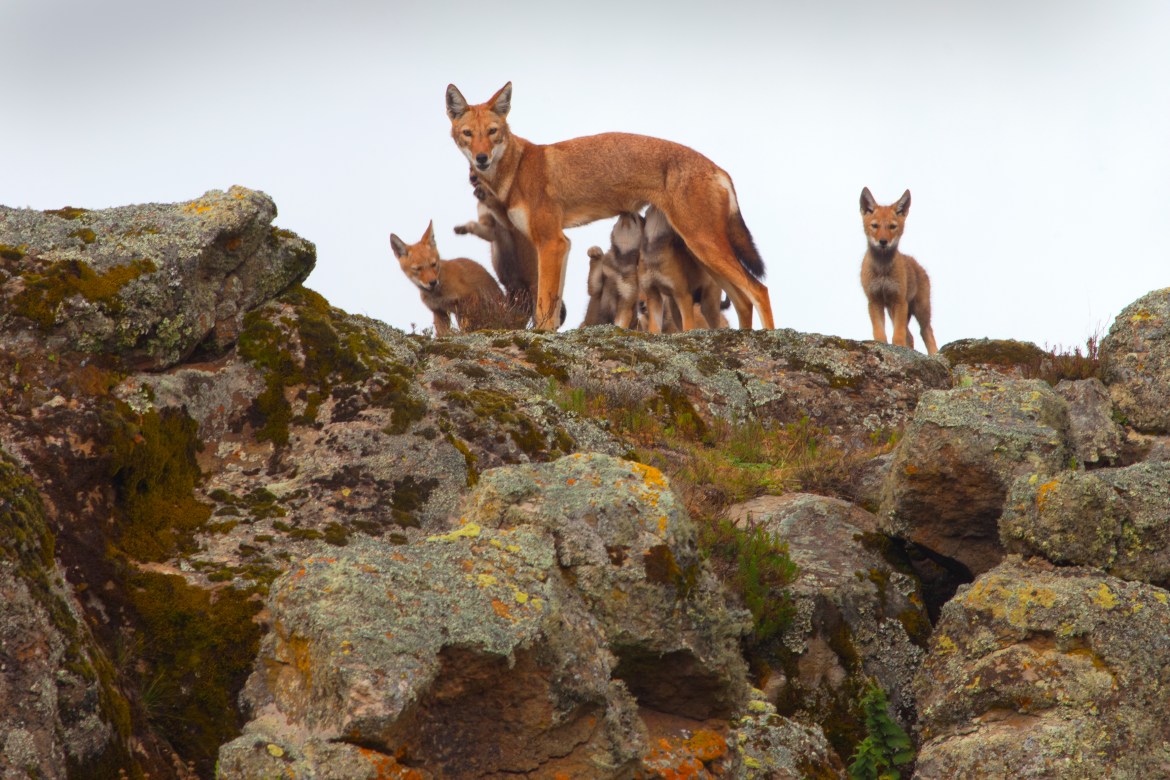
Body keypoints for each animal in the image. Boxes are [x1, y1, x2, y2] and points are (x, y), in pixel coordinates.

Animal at [442, 80, 772, 332]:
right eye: (468, 134)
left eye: (492, 132)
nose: (481, 159)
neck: (518, 168)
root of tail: (718, 169)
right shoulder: (562, 245)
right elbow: (552, 305)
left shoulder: (551, 242)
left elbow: (544, 306)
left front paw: (541, 335)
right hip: (705, 256)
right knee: (744, 301)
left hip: (705, 246)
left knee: (760, 290)